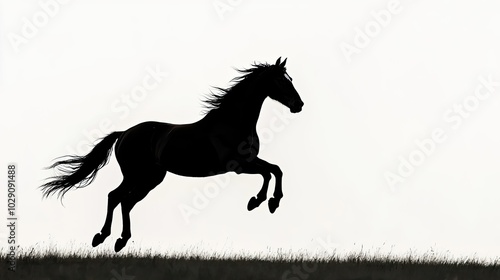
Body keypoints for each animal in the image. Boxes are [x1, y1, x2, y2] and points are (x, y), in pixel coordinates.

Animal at [40, 57, 304, 252]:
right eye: (282, 81)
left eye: (290, 79)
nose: (299, 105)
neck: (233, 122)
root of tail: (124, 133)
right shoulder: (239, 165)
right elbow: (271, 171)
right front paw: (264, 201)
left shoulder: (248, 162)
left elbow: (274, 170)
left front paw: (264, 202)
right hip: (136, 175)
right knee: (117, 197)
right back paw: (107, 237)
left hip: (151, 178)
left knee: (123, 200)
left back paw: (115, 239)